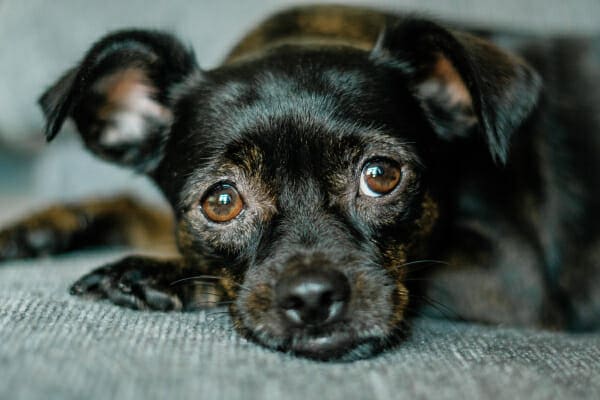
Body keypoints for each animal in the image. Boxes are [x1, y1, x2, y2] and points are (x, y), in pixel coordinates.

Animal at [1, 3, 600, 360]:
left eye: (381, 176)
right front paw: (43, 225)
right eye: (221, 201)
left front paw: (155, 273)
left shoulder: (513, 280)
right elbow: (138, 208)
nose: (313, 297)